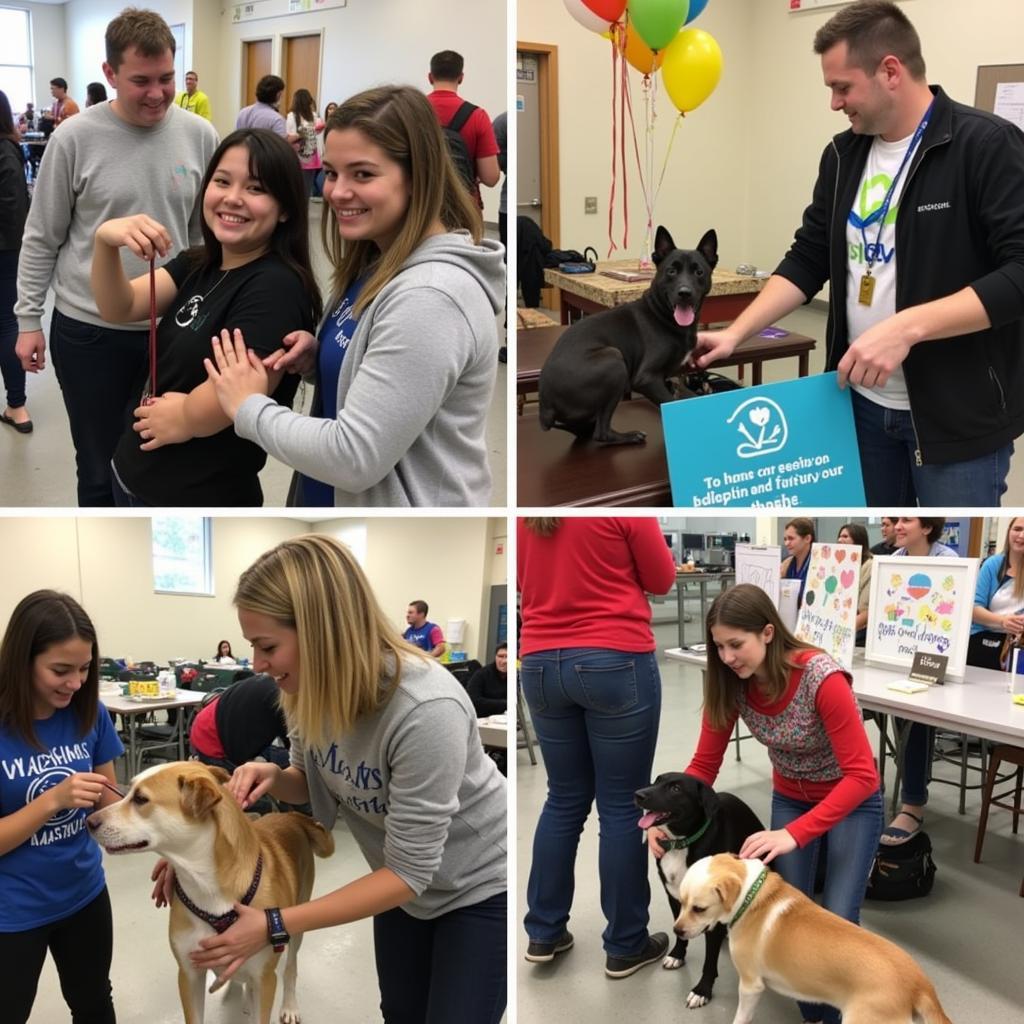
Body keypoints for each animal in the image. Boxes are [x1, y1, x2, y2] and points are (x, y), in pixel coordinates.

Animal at [87, 761, 333, 1024]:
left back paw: (289, 1005)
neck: (206, 885)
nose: (89, 821)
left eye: (141, 799)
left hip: (294, 932)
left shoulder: (265, 979)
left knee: (290, 968)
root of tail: (291, 816)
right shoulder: (189, 975)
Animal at [536, 228, 720, 444]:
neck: (664, 316)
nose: (685, 293)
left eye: (699, 272)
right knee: (602, 433)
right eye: (671, 271)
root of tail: (545, 407)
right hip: (614, 360)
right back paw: (629, 436)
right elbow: (667, 400)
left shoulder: (665, 379)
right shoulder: (646, 378)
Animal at [634, 770, 765, 1003]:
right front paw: (677, 955)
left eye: (675, 789)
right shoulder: (675, 898)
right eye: (657, 780)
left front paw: (702, 990)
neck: (681, 843)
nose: (638, 795)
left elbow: (710, 958)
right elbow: (679, 930)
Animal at [675, 851, 954, 1024]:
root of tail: (919, 983)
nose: (677, 931)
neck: (750, 899)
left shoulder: (751, 986)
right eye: (680, 902)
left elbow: (741, 1017)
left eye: (698, 909)